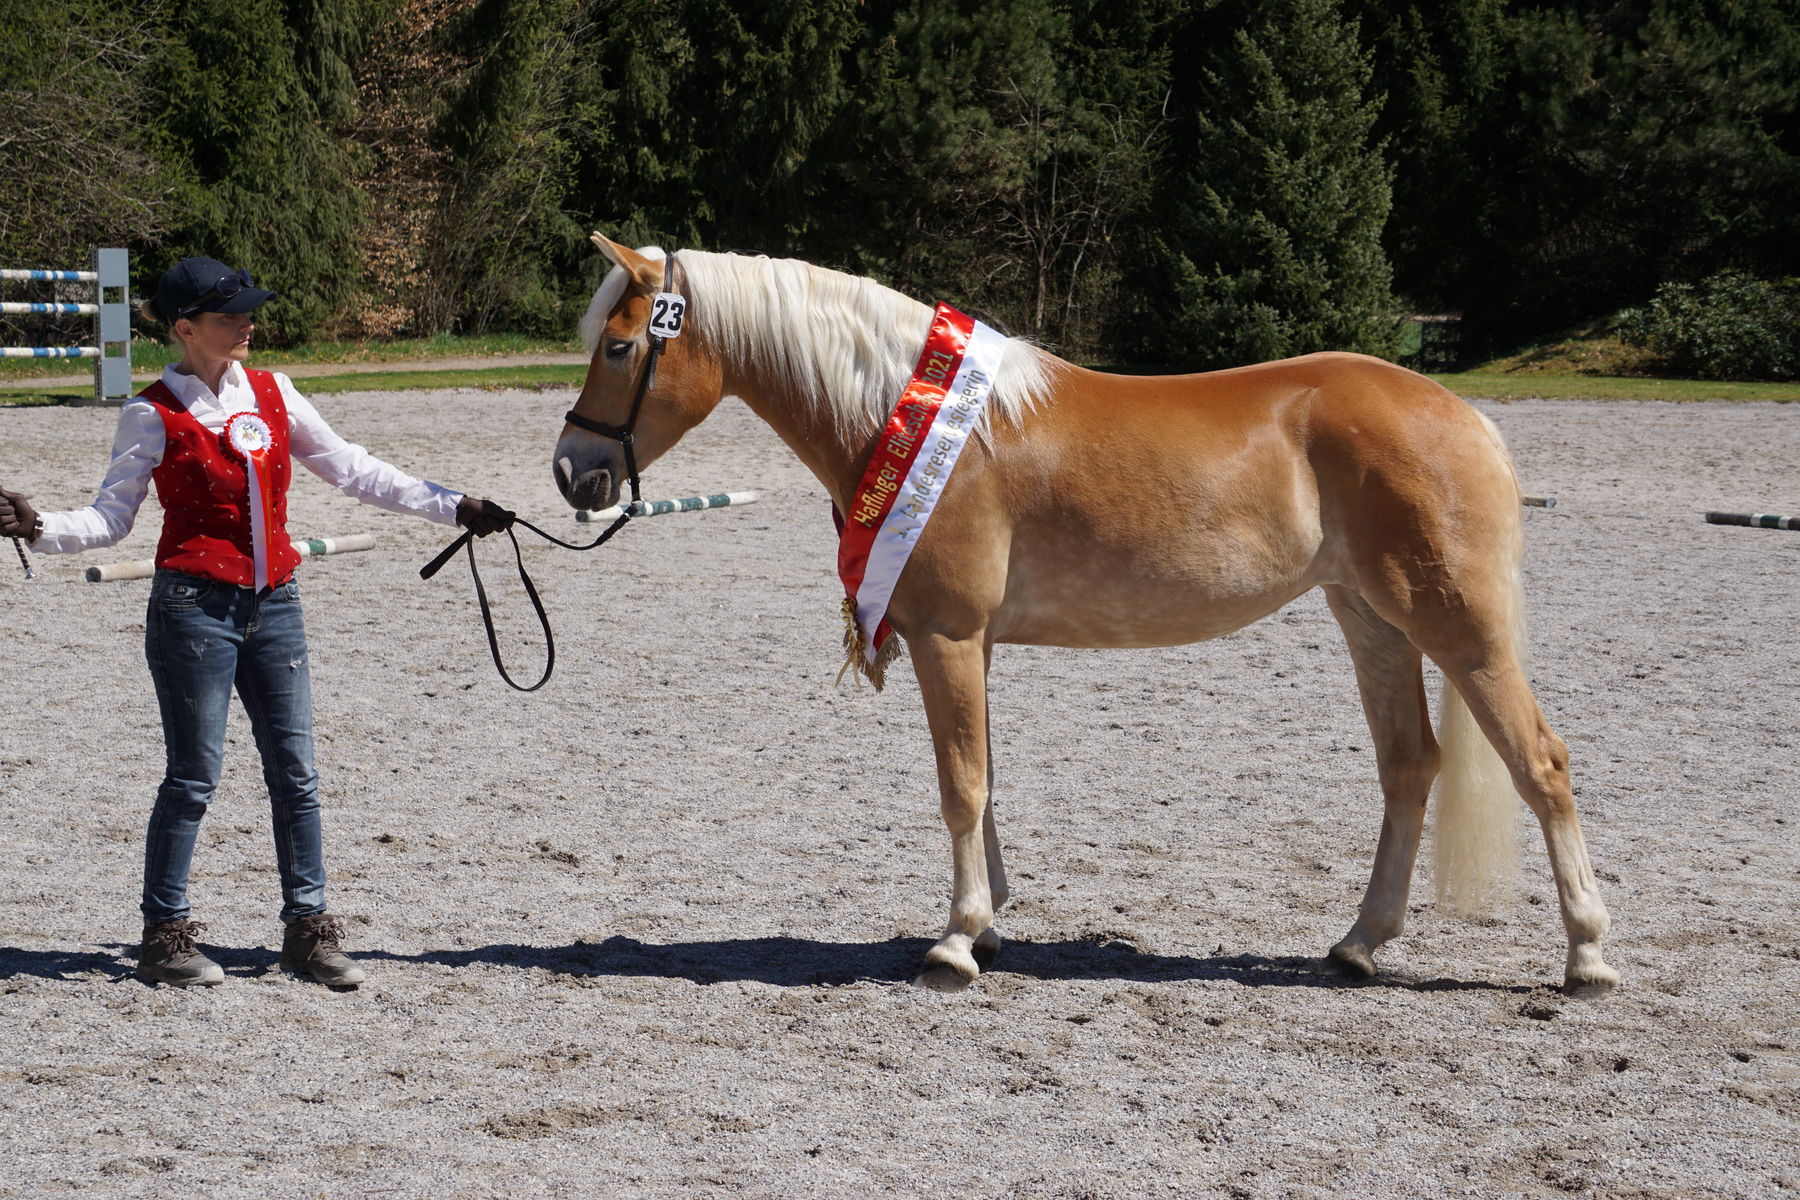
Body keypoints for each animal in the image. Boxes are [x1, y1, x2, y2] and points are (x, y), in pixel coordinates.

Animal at [547, 232, 1620, 993]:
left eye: (620, 346)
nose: (572, 472)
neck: (915, 419)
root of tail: (1461, 413)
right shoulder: (971, 645)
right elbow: (985, 779)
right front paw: (988, 918)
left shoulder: (946, 636)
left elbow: (961, 785)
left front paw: (956, 942)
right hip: (1372, 622)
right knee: (1410, 767)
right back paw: (1359, 944)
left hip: (1456, 625)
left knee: (1541, 762)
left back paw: (1587, 957)